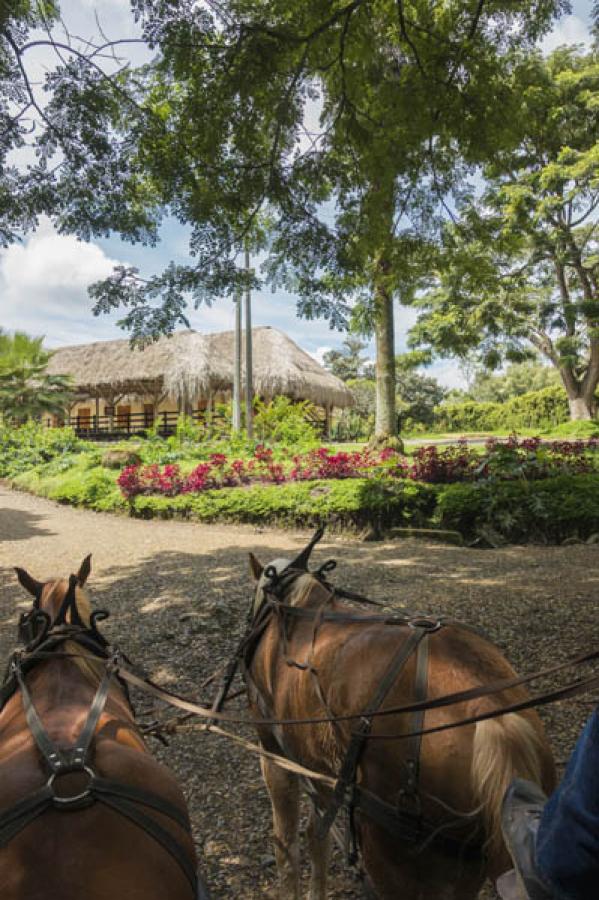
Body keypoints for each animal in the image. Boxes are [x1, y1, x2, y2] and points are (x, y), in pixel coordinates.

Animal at [246, 536, 556, 896]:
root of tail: (487, 709)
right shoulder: (314, 769)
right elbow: (316, 837)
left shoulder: (274, 753)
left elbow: (287, 845)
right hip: (465, 866)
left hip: (391, 856)